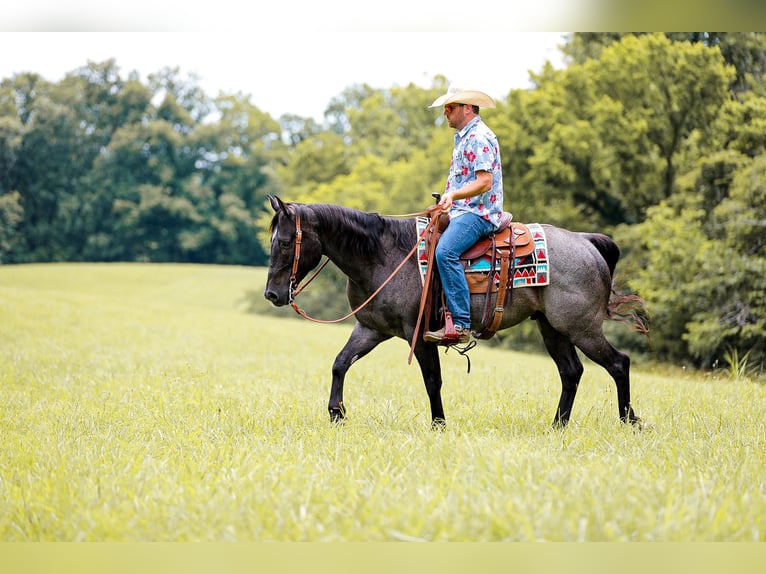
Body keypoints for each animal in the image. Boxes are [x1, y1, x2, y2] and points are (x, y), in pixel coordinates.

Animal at [264, 195, 646, 429]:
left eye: (284, 242)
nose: (272, 294)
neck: (383, 255)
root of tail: (586, 242)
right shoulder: (372, 329)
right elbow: (340, 363)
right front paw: (336, 413)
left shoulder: (419, 335)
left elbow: (433, 380)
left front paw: (439, 424)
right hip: (553, 328)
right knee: (571, 372)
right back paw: (557, 426)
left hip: (582, 328)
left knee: (618, 363)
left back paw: (630, 422)